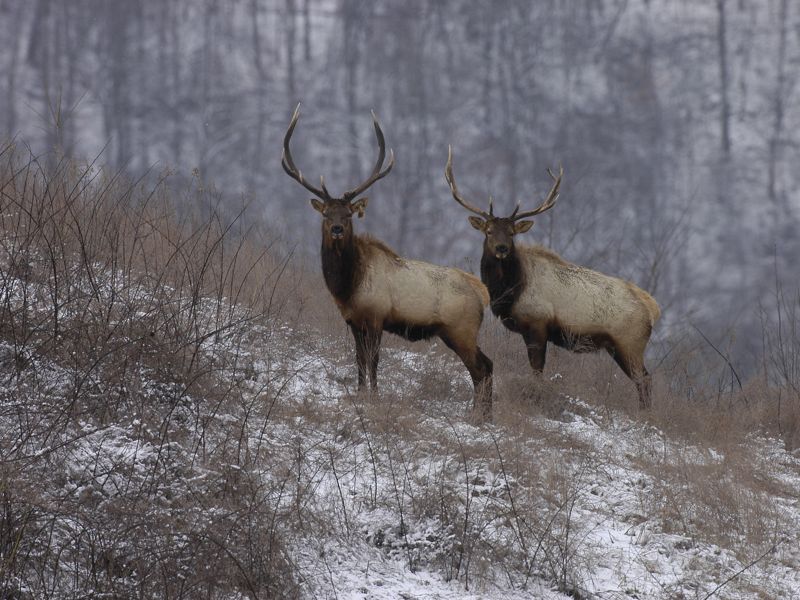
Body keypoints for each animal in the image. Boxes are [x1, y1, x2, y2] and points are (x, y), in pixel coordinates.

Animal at [281, 106, 494, 421]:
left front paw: (375, 397)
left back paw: (478, 416)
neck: (348, 285)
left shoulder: (376, 316)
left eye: (348, 214)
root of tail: (482, 292)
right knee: (487, 365)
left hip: (461, 329)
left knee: (481, 368)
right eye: (326, 214)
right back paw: (485, 415)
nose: (337, 229)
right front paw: (360, 394)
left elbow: (374, 360)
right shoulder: (353, 320)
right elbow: (359, 359)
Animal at [444, 147, 661, 408]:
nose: (501, 248)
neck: (510, 290)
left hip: (629, 343)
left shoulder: (537, 324)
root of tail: (652, 308)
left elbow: (537, 370)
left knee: (644, 380)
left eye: (511, 233)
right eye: (488, 231)